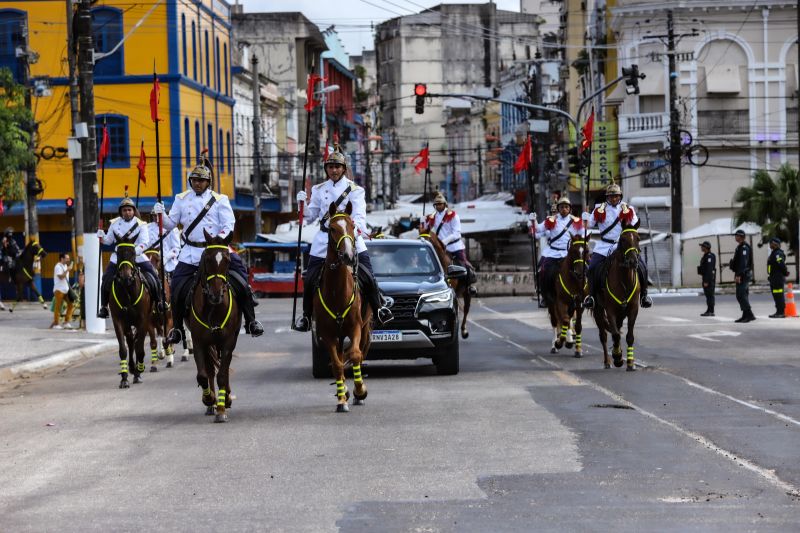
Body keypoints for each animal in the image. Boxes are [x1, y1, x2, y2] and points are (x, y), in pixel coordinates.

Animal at [109, 233, 153, 386]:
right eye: (118, 253)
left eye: (133, 253)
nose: (126, 278)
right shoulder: (118, 320)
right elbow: (123, 349)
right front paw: (124, 378)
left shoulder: (143, 321)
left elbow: (140, 348)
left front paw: (138, 373)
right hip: (128, 324)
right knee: (130, 341)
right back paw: (132, 368)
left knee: (136, 342)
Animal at [188, 231, 241, 422]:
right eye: (207, 258)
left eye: (227, 260)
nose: (216, 295)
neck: (213, 308)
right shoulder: (198, 342)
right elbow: (203, 375)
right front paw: (209, 398)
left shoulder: (228, 341)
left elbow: (223, 375)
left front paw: (221, 409)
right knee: (210, 370)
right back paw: (212, 403)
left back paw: (226, 399)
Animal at [314, 200, 374, 412]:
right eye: (332, 228)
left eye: (353, 226)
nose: (348, 255)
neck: (336, 291)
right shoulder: (327, 334)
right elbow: (337, 364)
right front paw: (341, 399)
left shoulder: (355, 326)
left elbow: (355, 355)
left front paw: (360, 390)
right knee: (340, 357)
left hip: (364, 327)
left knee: (361, 353)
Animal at [592, 219, 644, 370]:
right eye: (623, 239)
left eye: (638, 238)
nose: (632, 261)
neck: (624, 280)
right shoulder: (610, 311)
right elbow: (615, 335)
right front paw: (618, 357)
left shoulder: (633, 309)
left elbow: (629, 336)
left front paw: (630, 363)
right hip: (598, 310)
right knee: (604, 335)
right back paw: (608, 361)